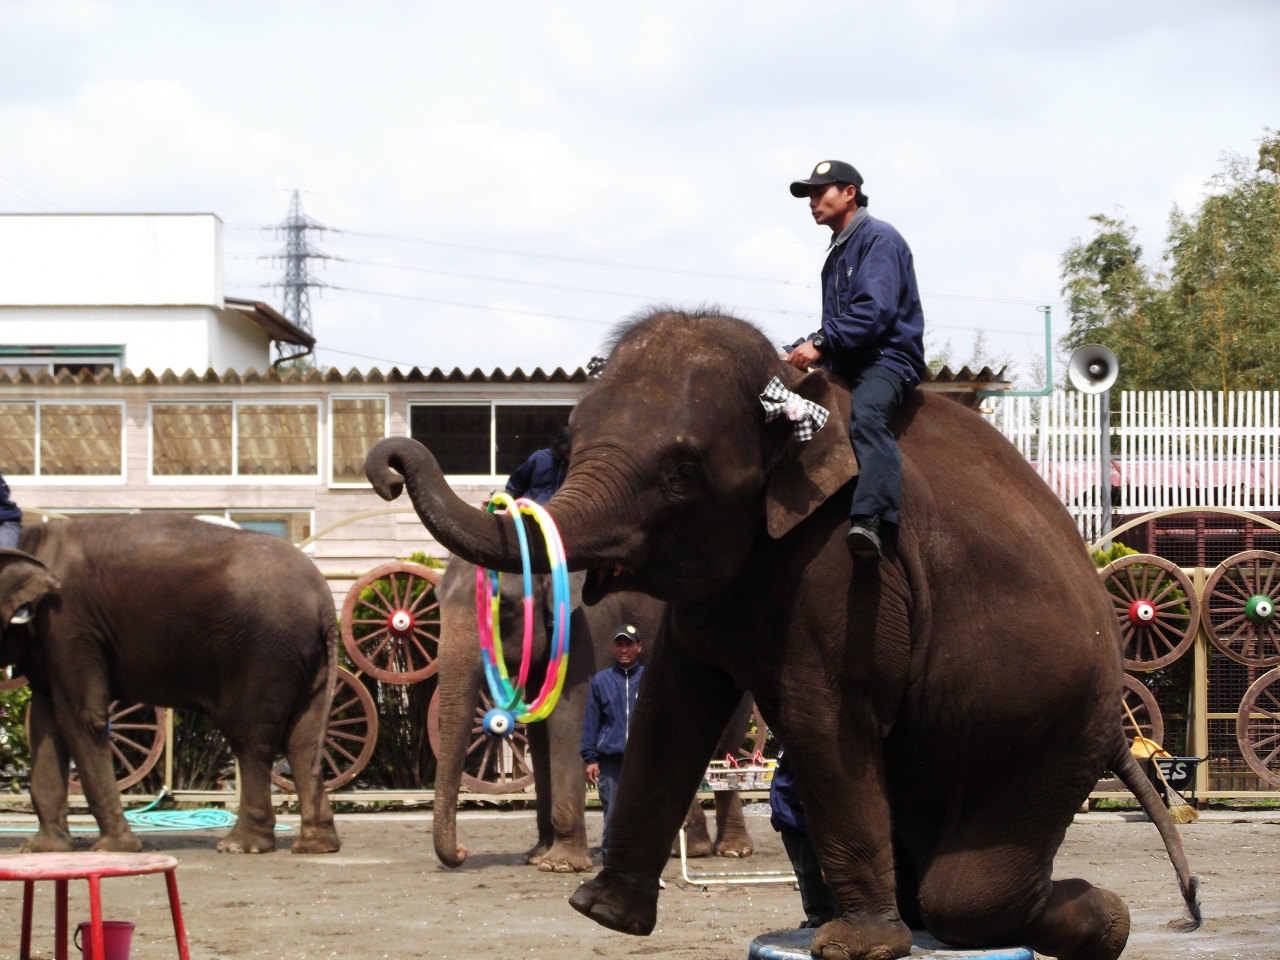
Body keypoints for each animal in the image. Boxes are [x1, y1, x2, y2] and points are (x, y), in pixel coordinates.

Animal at [0, 519, 340, 855]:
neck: (31, 540)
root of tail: (323, 600)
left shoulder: (68, 622)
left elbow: (81, 718)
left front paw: (115, 848)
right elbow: (44, 723)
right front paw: (44, 848)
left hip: (264, 651)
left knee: (252, 738)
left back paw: (240, 845)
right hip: (304, 655)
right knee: (304, 739)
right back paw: (316, 845)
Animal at [430, 560, 752, 875]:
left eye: (503, 604)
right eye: (437, 598)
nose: (462, 852)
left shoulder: (588, 624)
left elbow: (567, 719)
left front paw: (560, 864)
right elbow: (540, 731)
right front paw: (537, 856)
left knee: (726, 742)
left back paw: (733, 850)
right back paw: (691, 848)